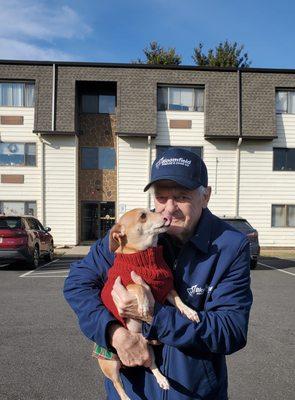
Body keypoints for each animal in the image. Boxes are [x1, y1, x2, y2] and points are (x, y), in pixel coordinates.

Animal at [98, 208, 200, 400]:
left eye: (154, 210)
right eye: (143, 216)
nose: (167, 216)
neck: (144, 256)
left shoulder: (167, 290)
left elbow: (179, 301)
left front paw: (189, 311)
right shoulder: (124, 285)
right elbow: (138, 285)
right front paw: (144, 304)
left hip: (148, 351)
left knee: (151, 365)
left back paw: (162, 378)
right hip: (111, 365)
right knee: (117, 385)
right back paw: (126, 397)